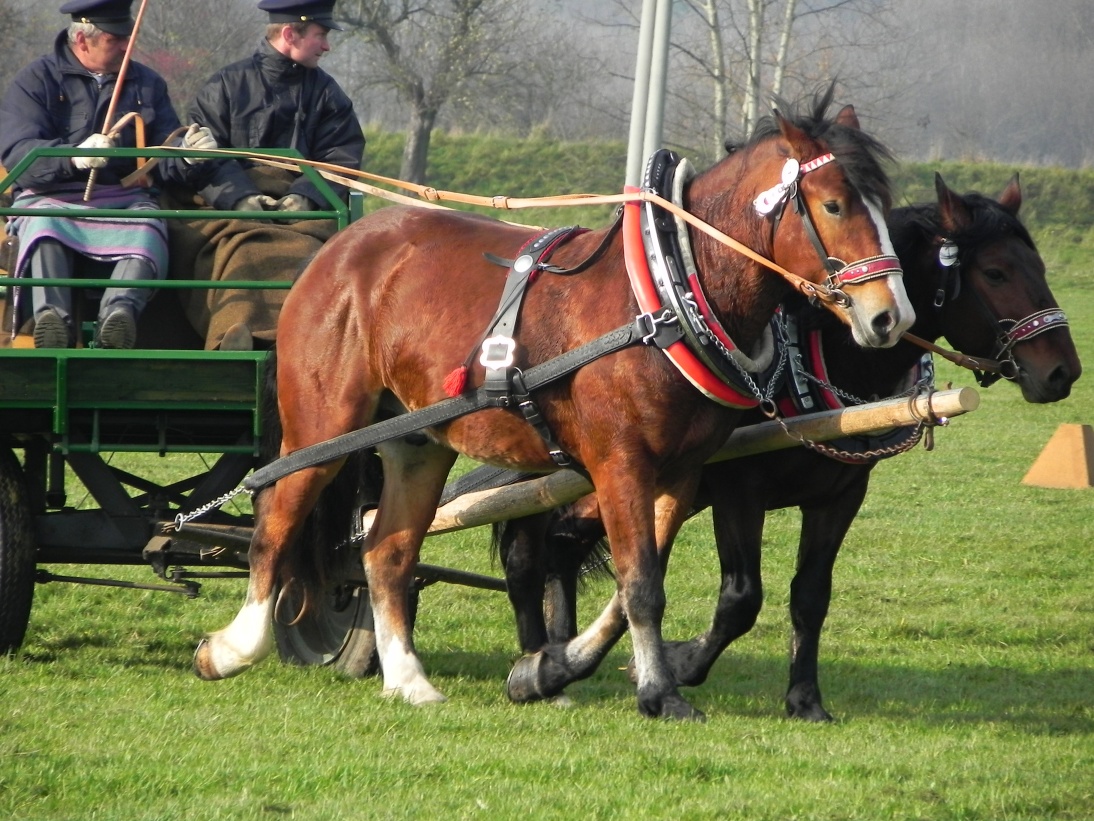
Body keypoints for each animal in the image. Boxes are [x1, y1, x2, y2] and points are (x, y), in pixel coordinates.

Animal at [190, 89, 914, 718]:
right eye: (834, 205)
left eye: (885, 206)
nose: (890, 316)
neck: (668, 292)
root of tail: (341, 248)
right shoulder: (622, 465)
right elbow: (642, 585)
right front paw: (659, 693)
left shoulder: (680, 474)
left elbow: (631, 586)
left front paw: (548, 669)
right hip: (323, 423)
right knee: (276, 521)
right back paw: (232, 648)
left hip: (416, 442)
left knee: (384, 552)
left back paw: (408, 679)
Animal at [501, 171, 1080, 718]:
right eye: (996, 272)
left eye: (1040, 267)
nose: (1063, 371)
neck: (819, 350)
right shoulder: (738, 489)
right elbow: (741, 597)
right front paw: (683, 663)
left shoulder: (840, 496)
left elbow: (811, 595)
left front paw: (805, 699)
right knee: (533, 552)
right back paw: (545, 658)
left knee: (561, 546)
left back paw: (555, 656)